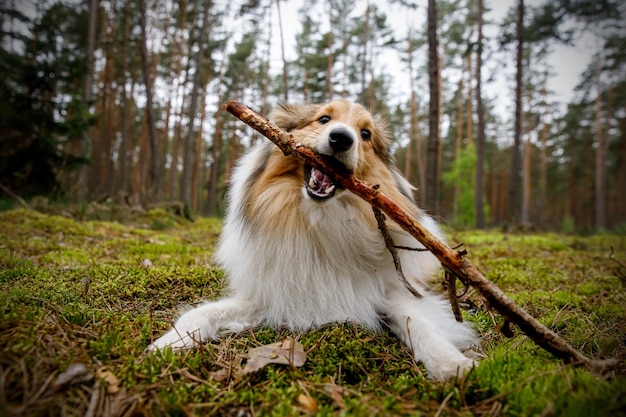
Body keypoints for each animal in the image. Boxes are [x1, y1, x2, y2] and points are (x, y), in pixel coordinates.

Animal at [149, 99, 476, 378]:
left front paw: (452, 364)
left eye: (365, 134)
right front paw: (166, 344)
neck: (320, 220)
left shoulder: (390, 293)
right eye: (324, 119)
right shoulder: (270, 295)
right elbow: (200, 313)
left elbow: (419, 322)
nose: (341, 138)